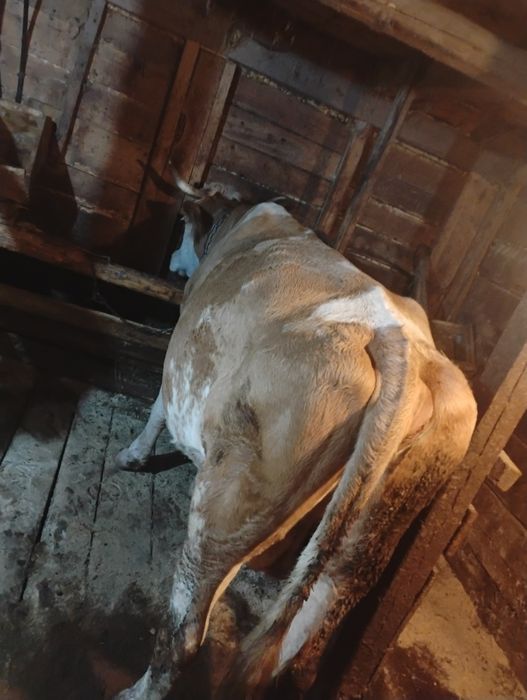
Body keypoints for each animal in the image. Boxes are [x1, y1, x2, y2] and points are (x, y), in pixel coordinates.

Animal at [114, 178, 477, 700]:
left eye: (183, 225)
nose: (171, 261)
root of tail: (401, 343)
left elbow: (159, 404)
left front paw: (134, 456)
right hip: (370, 532)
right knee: (308, 627)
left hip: (229, 499)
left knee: (187, 628)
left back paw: (137, 690)